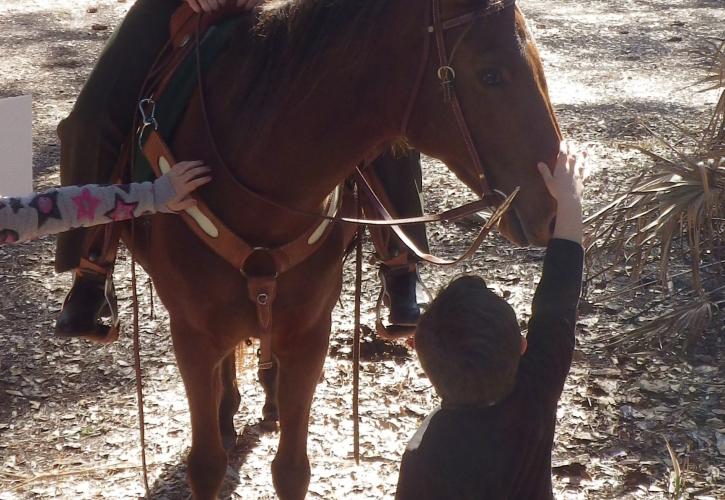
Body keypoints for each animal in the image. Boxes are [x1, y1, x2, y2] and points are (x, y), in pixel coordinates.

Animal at [126, 0, 560, 496]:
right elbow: (206, 464)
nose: (553, 207)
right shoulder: (192, 337)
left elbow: (292, 469)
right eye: (490, 75)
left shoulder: (311, 333)